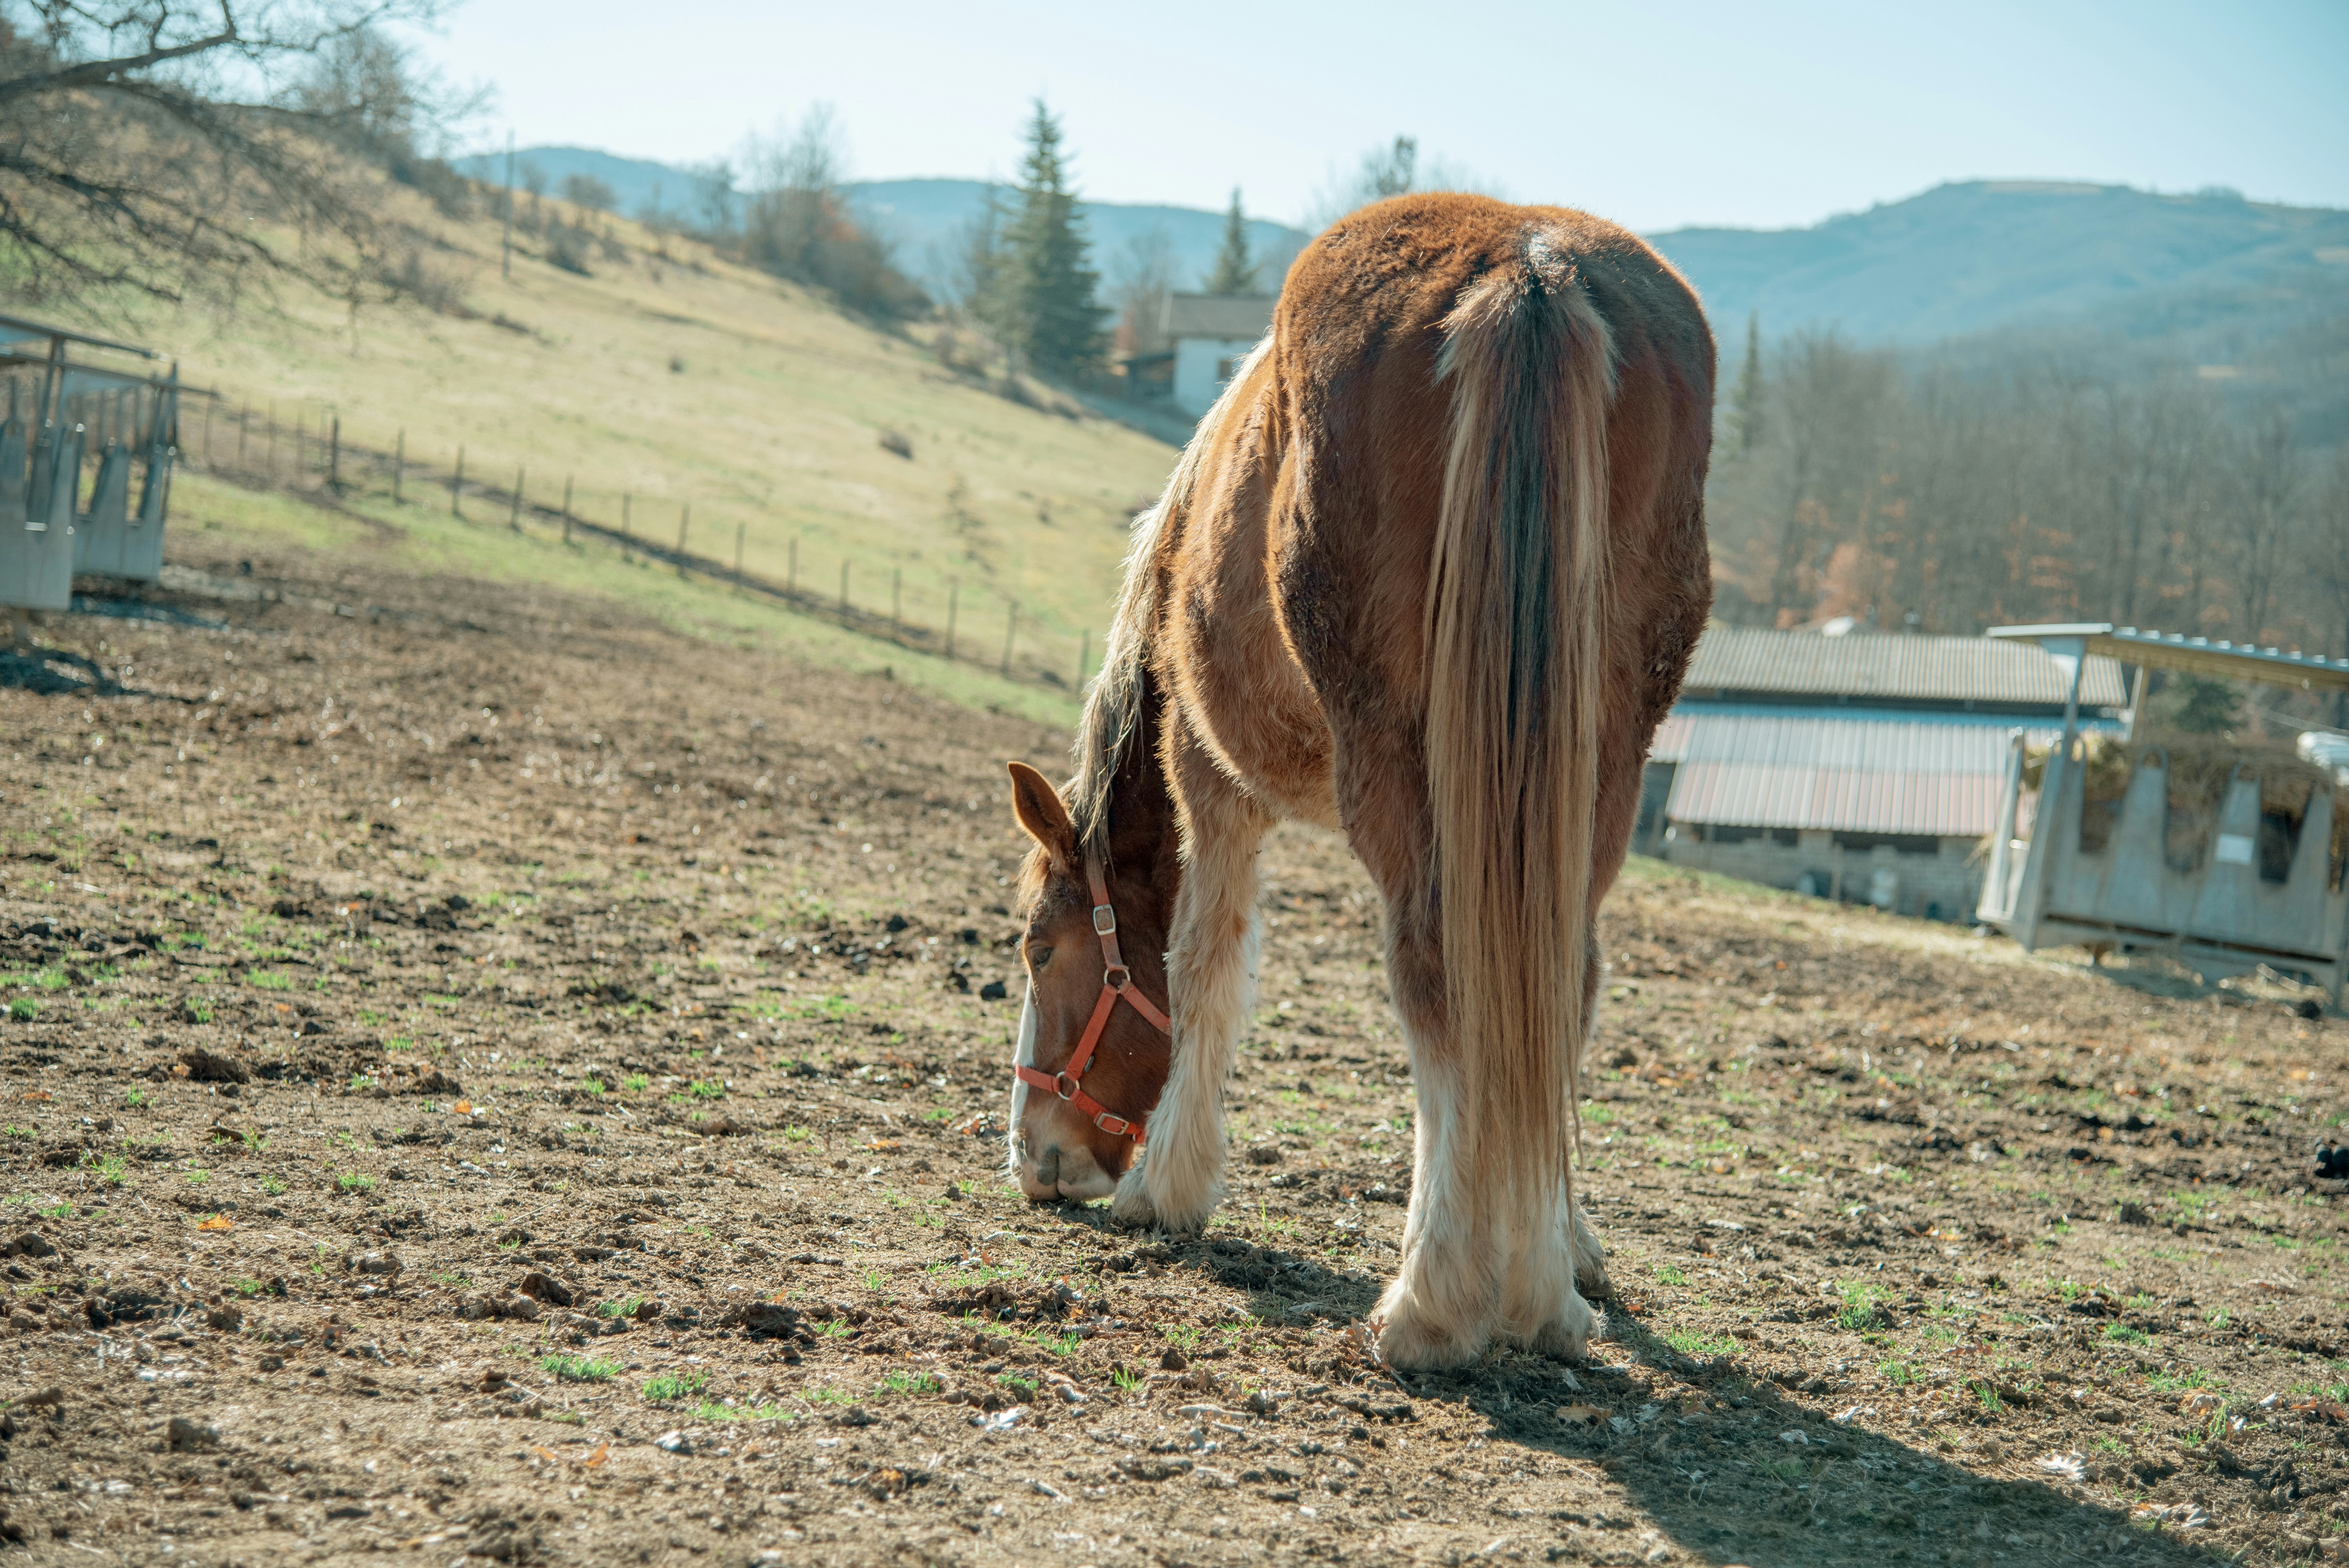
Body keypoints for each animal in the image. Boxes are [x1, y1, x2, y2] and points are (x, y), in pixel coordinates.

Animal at [1004, 192, 1715, 1367]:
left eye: (1039, 950)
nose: (1032, 1156)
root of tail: (1526, 270)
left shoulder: (1209, 778)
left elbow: (1206, 966)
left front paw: (1167, 1188)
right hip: (1598, 764)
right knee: (1557, 977)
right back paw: (1546, 1291)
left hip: (1401, 763)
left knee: (1438, 970)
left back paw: (1437, 1301)